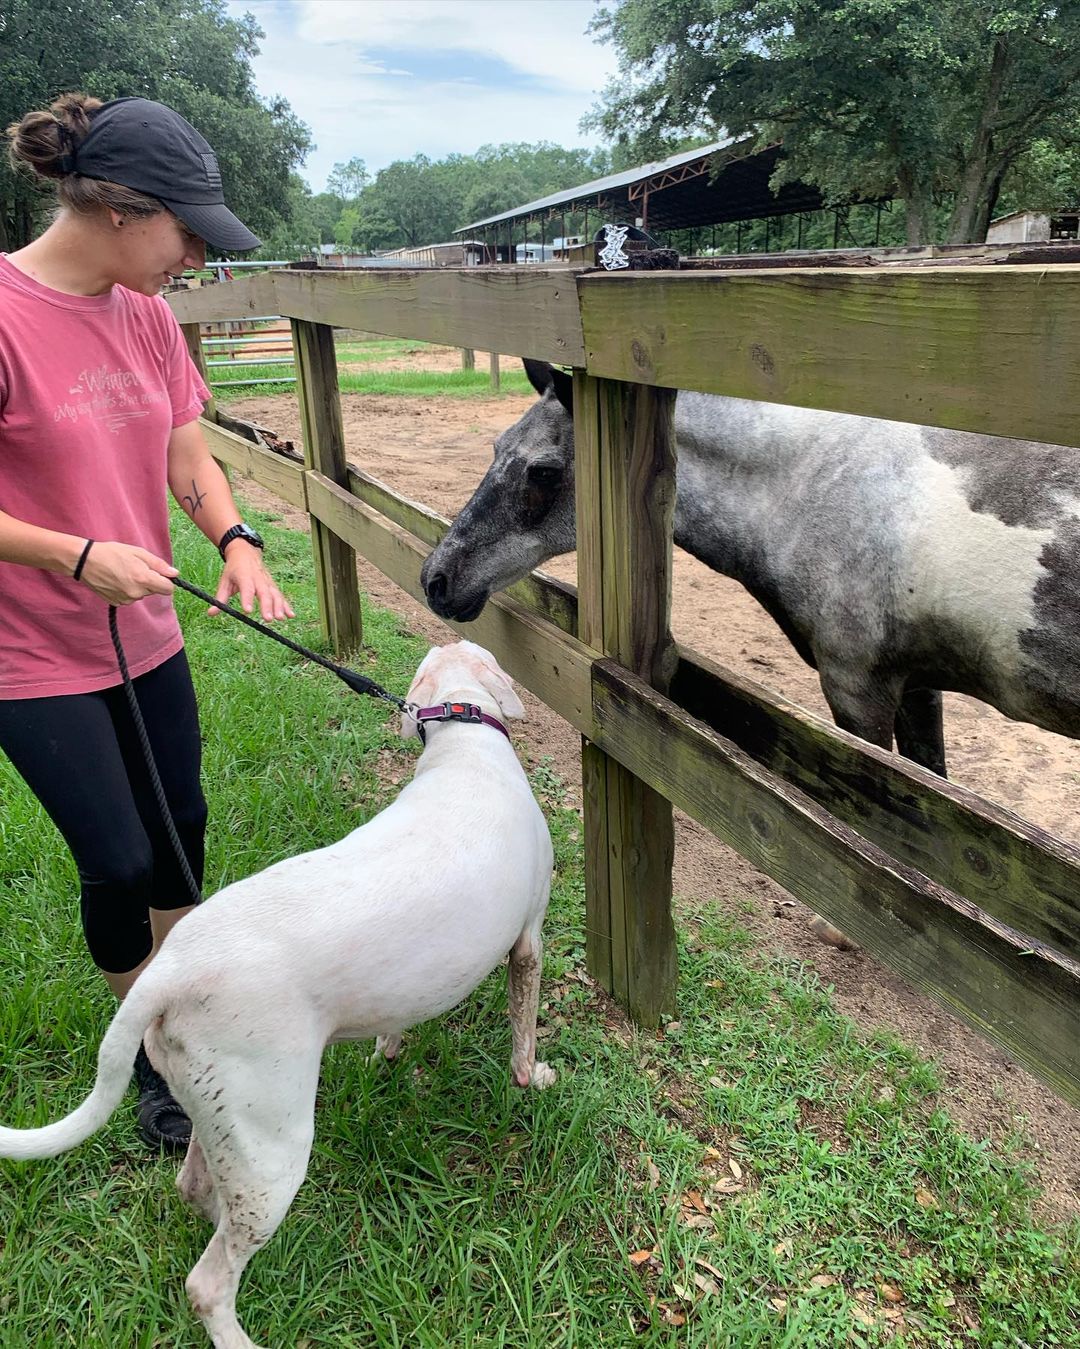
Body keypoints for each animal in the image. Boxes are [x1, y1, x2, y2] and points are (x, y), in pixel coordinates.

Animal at [0, 639, 555, 1349]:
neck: (463, 739)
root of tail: (169, 970)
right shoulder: (528, 942)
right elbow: (523, 1029)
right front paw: (533, 1077)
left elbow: (395, 1024)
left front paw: (389, 1052)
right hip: (275, 1144)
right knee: (207, 1283)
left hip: (223, 1120)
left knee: (197, 1189)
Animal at [420, 361, 1078, 782]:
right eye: (496, 447)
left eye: (543, 471)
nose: (436, 578)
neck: (816, 487)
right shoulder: (918, 684)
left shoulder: (859, 691)